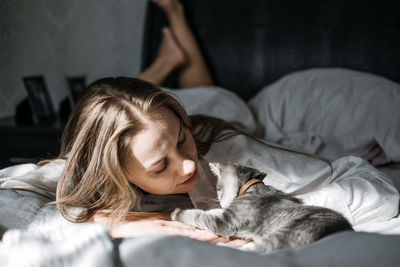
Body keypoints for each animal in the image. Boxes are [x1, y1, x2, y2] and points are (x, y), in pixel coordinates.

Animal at [170, 162, 352, 254]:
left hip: (288, 233)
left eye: (218, 189)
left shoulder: (225, 221)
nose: (220, 201)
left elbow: (197, 215)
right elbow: (208, 212)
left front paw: (177, 212)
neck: (251, 187)